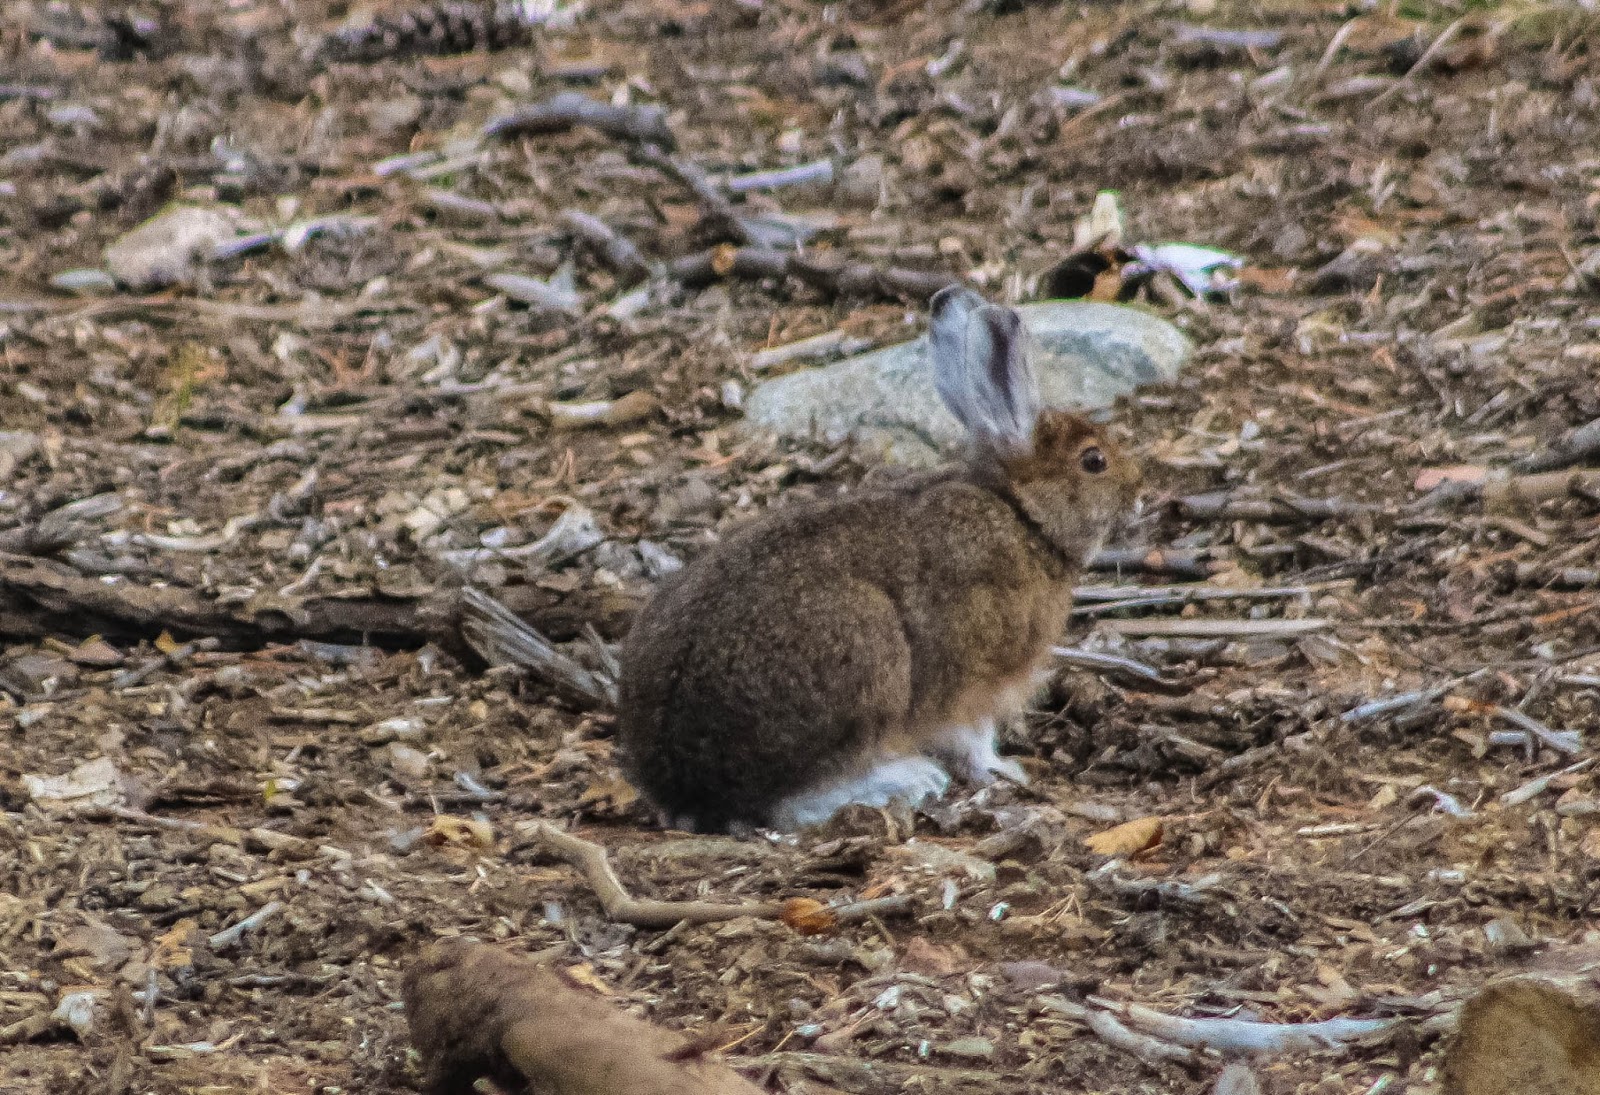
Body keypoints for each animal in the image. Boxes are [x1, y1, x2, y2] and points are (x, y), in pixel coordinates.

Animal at [616, 285, 1142, 834]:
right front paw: (1002, 769)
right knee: (790, 802)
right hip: (869, 660)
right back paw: (907, 779)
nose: (1139, 493)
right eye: (1094, 461)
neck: (1022, 514)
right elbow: (973, 738)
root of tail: (686, 782)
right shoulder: (975, 676)